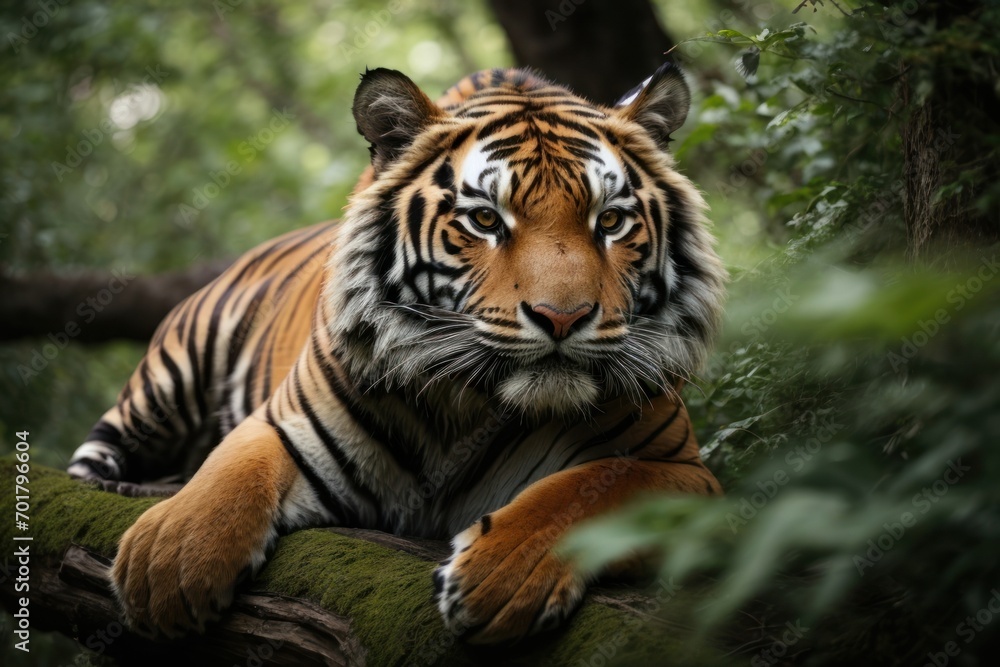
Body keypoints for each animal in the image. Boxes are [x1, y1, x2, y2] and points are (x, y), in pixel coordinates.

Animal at [67, 63, 726, 644]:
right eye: (485, 219)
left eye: (610, 221)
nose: (561, 317)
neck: (464, 405)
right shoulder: (286, 425)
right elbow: (231, 474)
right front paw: (167, 564)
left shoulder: (681, 471)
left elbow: (587, 492)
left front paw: (498, 579)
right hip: (168, 378)